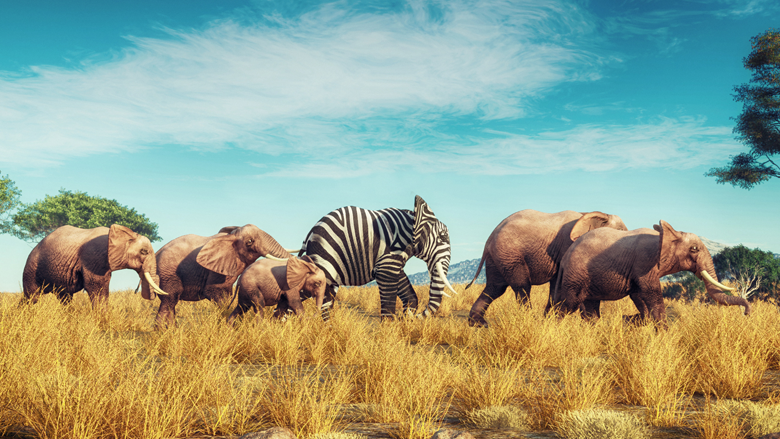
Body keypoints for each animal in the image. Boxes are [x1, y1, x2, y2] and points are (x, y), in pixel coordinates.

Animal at [21, 225, 166, 308]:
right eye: (144, 251)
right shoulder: (94, 256)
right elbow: (96, 288)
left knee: (64, 297)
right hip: (32, 266)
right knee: (31, 296)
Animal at [154, 227, 294, 326]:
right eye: (249, 242)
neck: (232, 236)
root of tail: (156, 252)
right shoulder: (216, 270)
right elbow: (214, 292)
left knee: (171, 303)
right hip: (168, 272)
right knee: (170, 299)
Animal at [298, 196, 458, 320]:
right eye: (443, 237)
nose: (416, 317)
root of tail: (309, 235)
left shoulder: (393, 259)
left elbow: (409, 294)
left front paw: (406, 318)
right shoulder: (389, 254)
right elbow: (388, 300)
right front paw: (388, 336)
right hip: (325, 257)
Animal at [464, 210, 628, 326]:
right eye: (618, 232)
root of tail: (489, 238)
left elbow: (557, 285)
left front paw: (549, 319)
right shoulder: (568, 246)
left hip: (499, 255)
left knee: (495, 287)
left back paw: (478, 323)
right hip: (509, 252)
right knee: (522, 286)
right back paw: (529, 320)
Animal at [552, 220, 748, 326]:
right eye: (694, 249)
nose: (746, 313)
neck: (664, 235)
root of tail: (566, 257)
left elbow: (640, 297)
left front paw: (643, 324)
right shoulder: (644, 262)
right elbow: (652, 295)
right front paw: (664, 335)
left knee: (590, 306)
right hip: (576, 275)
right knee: (569, 304)